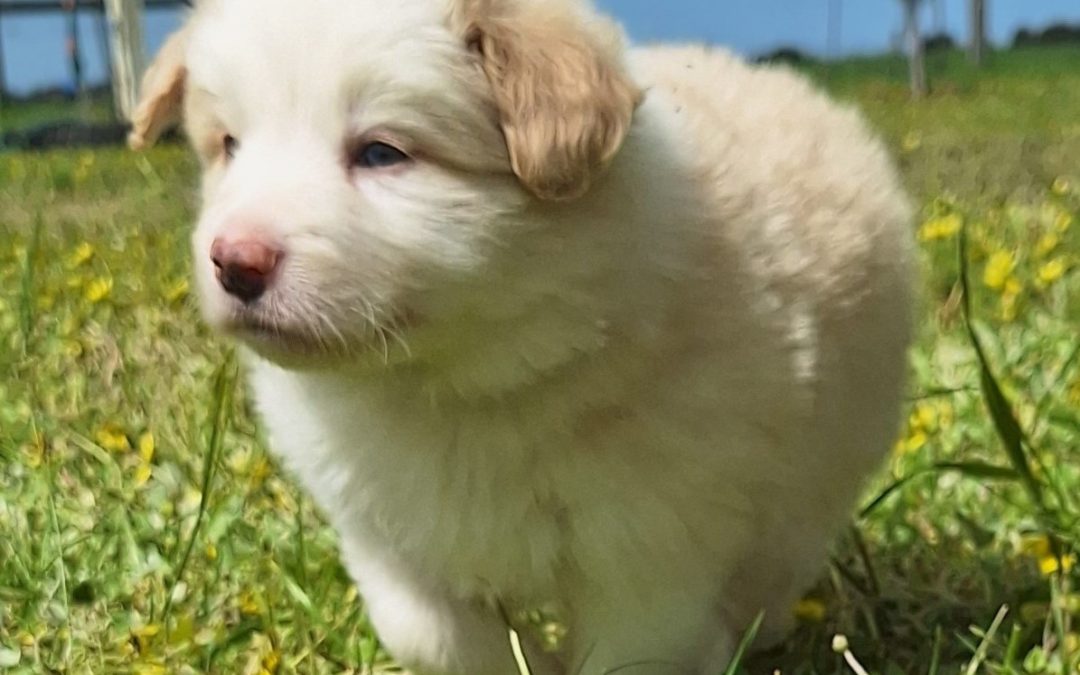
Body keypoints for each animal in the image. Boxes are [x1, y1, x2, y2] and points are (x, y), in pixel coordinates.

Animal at [132, 1, 911, 669]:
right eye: (229, 146)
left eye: (382, 153)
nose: (235, 262)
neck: (458, 383)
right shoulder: (380, 529)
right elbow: (430, 631)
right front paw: (524, 656)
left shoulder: (652, 548)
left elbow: (632, 651)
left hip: (822, 467)